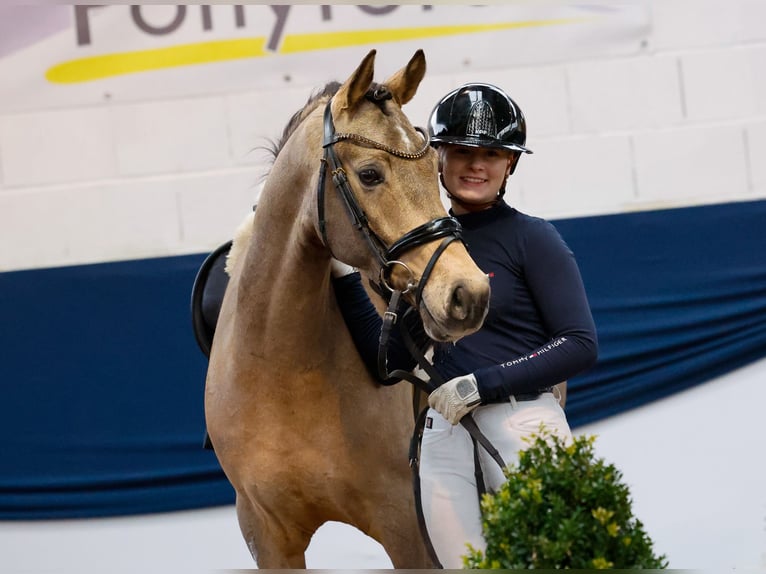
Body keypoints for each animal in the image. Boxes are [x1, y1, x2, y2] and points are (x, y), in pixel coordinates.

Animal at [206, 49, 492, 572]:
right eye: (370, 175)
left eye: (433, 170)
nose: (468, 293)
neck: (280, 365)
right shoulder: (266, 535)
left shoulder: (407, 527)